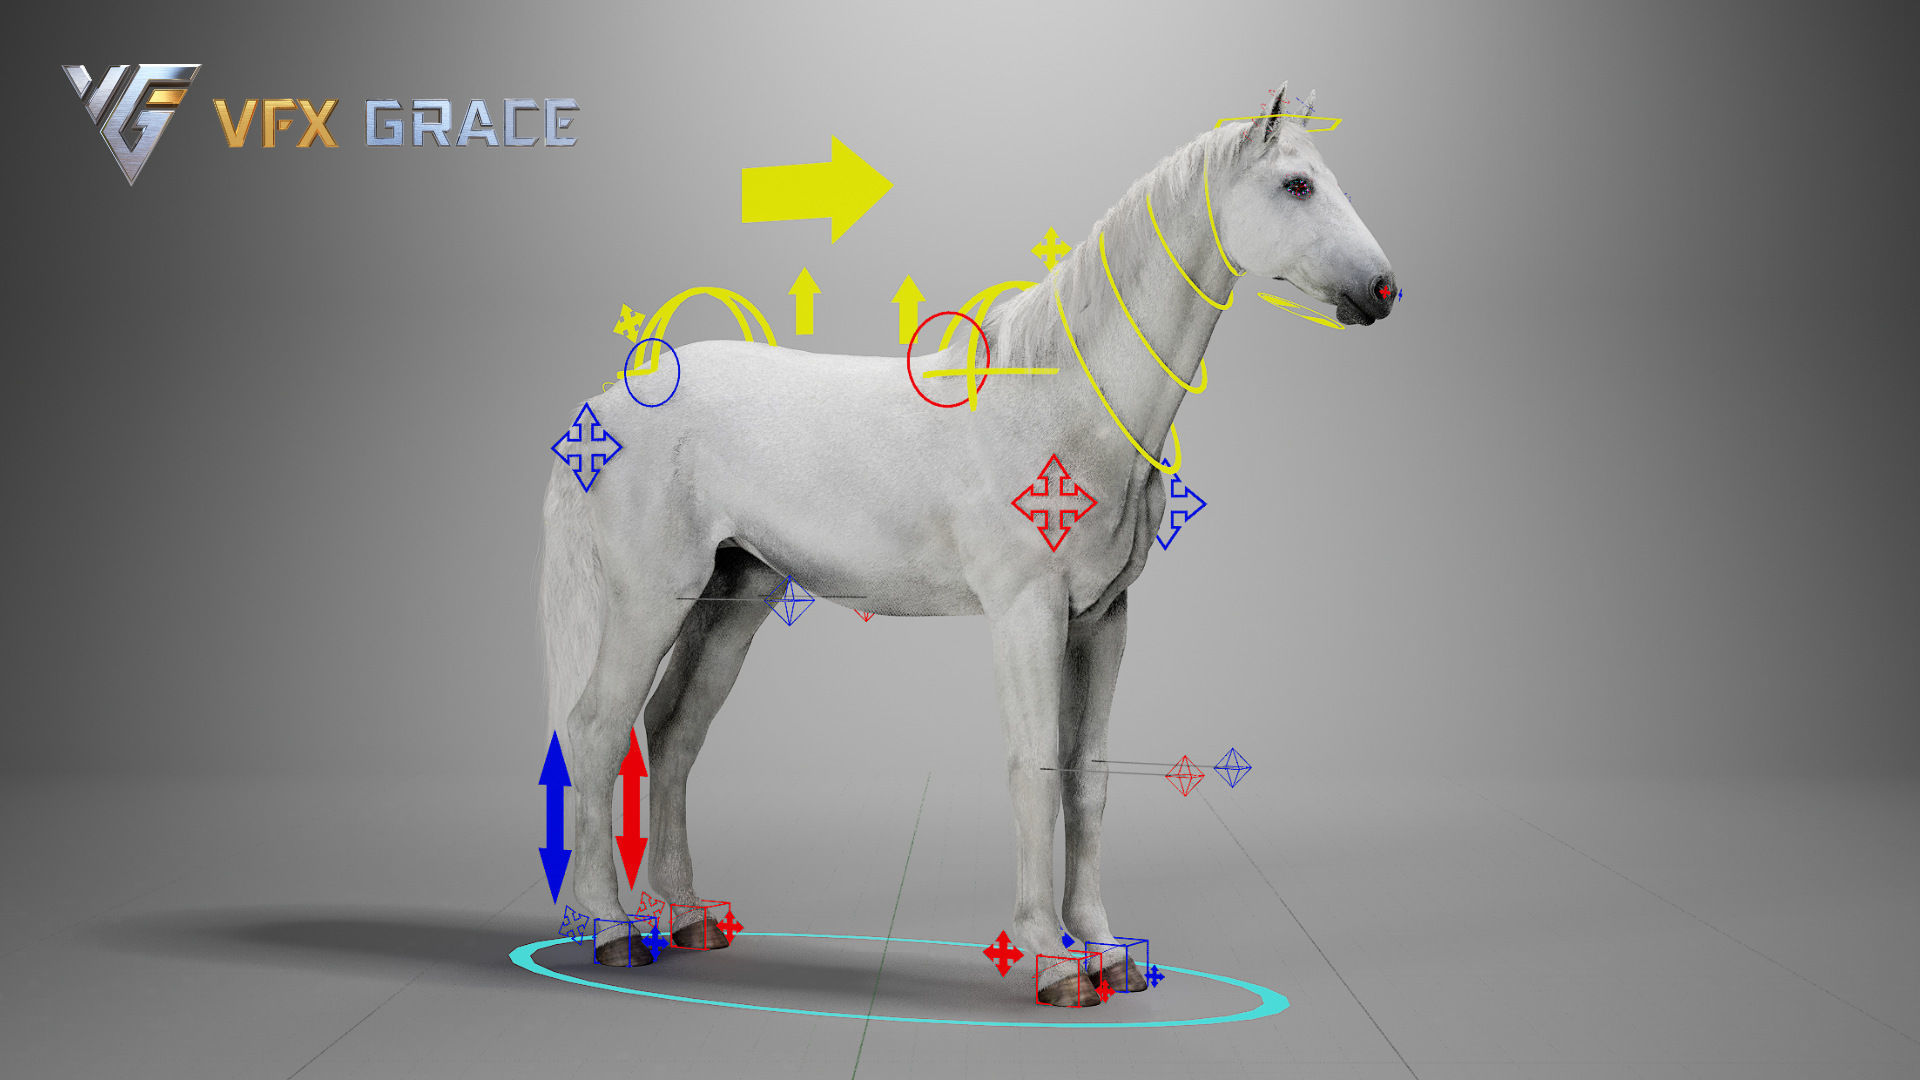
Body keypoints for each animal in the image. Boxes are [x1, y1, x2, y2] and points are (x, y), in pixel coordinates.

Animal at [539, 83, 1396, 1006]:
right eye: (1297, 185)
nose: (1384, 289)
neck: (1066, 403)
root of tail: (605, 405)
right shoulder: (1026, 613)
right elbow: (1036, 769)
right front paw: (1055, 959)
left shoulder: (1104, 619)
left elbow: (1088, 777)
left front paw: (1108, 951)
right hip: (649, 599)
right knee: (597, 728)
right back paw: (612, 929)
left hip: (734, 598)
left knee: (673, 731)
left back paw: (688, 915)